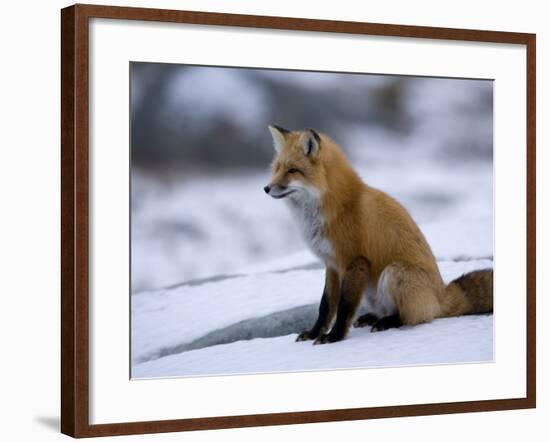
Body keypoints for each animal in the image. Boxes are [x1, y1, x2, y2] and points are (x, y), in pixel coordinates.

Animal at [266, 126, 494, 344]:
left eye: (293, 170)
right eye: (277, 168)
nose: (266, 188)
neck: (336, 207)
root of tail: (441, 296)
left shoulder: (354, 261)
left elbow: (344, 306)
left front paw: (334, 337)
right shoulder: (331, 264)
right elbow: (326, 306)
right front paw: (314, 333)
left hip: (394, 272)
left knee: (415, 317)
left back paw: (388, 322)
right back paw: (373, 318)